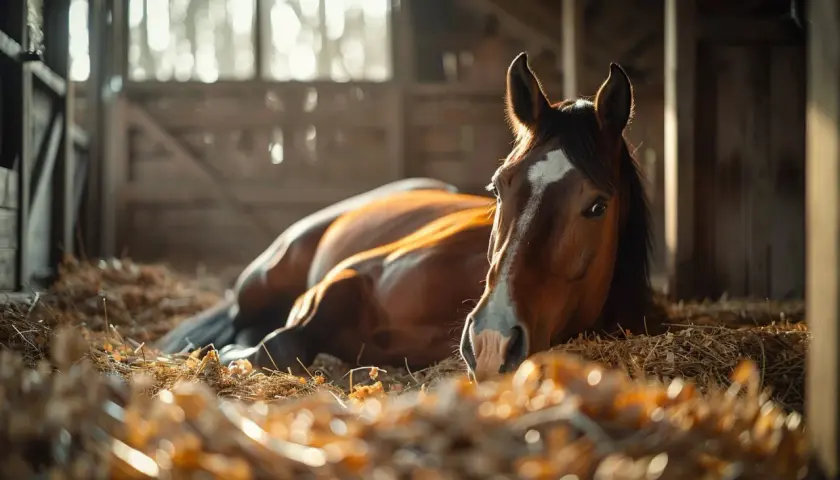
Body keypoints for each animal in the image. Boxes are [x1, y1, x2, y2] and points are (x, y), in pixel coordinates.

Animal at [155, 52, 655, 382]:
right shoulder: (340, 280)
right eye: (498, 188)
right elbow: (278, 346)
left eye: (597, 206)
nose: (491, 341)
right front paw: (224, 354)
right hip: (262, 283)